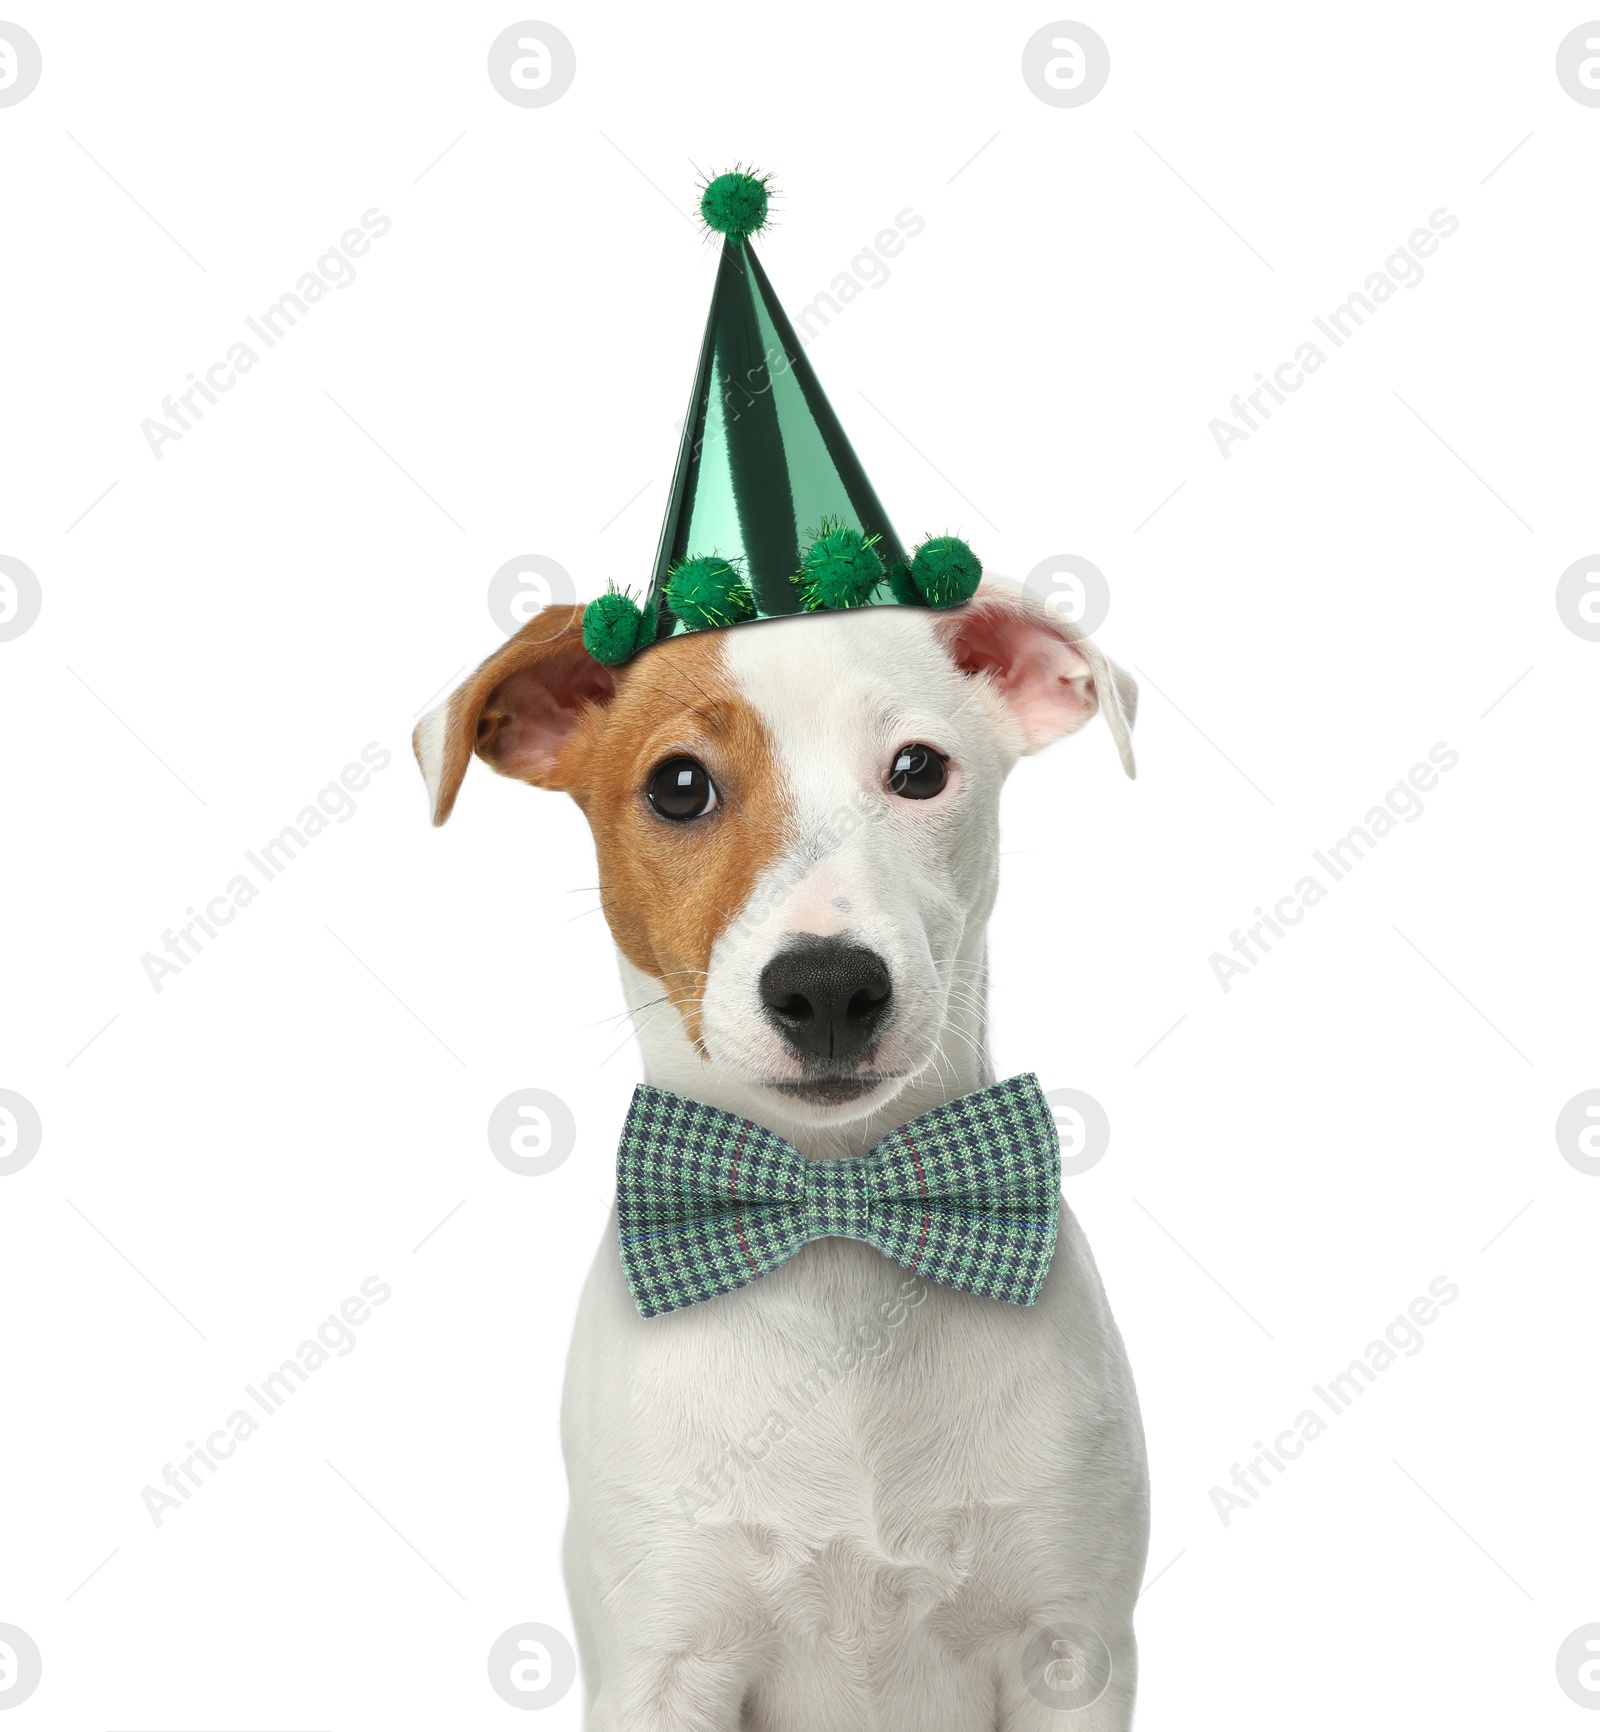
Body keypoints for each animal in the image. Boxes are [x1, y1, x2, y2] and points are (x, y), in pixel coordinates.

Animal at [419, 575, 1149, 1725]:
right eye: (678, 786)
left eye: (918, 769)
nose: (830, 985)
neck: (833, 1206)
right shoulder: (662, 1667)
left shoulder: (1068, 1655)